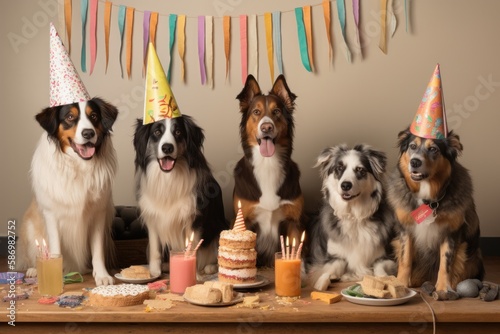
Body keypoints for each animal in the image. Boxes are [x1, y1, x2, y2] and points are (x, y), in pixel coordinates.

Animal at [16, 98, 119, 286]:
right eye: (70, 117)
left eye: (94, 116)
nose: (88, 133)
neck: (79, 166)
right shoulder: (51, 215)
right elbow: (56, 249)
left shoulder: (98, 214)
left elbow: (98, 250)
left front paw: (101, 275)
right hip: (30, 229)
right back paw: (34, 270)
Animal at [132, 115, 228, 276]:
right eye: (157, 132)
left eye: (178, 132)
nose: (167, 148)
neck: (169, 177)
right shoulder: (153, 216)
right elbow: (155, 248)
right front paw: (154, 272)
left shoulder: (194, 218)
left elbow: (192, 247)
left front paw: (195, 276)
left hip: (220, 227)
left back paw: (210, 267)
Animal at [234, 74, 304, 268]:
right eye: (256, 112)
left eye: (277, 111)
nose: (267, 127)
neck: (267, 163)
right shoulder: (244, 219)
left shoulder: (293, 221)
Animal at [306, 144, 396, 290]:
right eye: (339, 168)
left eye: (360, 170)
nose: (346, 185)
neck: (354, 216)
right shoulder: (331, 256)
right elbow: (336, 265)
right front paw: (322, 282)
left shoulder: (387, 255)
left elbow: (379, 269)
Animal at [386, 128, 484, 300]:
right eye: (412, 146)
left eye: (433, 149)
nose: (415, 162)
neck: (428, 200)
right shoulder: (406, 230)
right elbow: (405, 259)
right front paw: (401, 284)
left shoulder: (450, 232)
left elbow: (446, 263)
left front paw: (444, 288)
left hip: (473, 255)